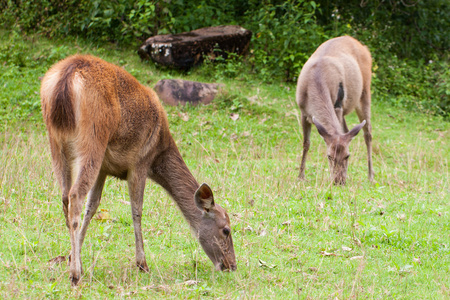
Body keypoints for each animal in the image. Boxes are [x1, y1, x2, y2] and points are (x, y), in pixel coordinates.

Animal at [40, 55, 237, 288]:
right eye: (226, 229)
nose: (231, 265)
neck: (159, 153)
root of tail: (66, 77)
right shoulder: (139, 162)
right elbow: (137, 210)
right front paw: (142, 263)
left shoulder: (104, 168)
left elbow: (93, 207)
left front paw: (72, 255)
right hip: (93, 136)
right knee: (75, 195)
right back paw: (75, 275)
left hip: (55, 139)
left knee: (64, 197)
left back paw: (73, 265)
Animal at [298, 36, 374, 184]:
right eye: (329, 156)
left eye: (347, 156)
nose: (339, 181)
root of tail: (364, 47)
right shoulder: (303, 111)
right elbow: (306, 143)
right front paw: (300, 176)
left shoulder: (337, 104)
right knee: (348, 130)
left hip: (365, 91)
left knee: (367, 133)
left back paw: (371, 175)